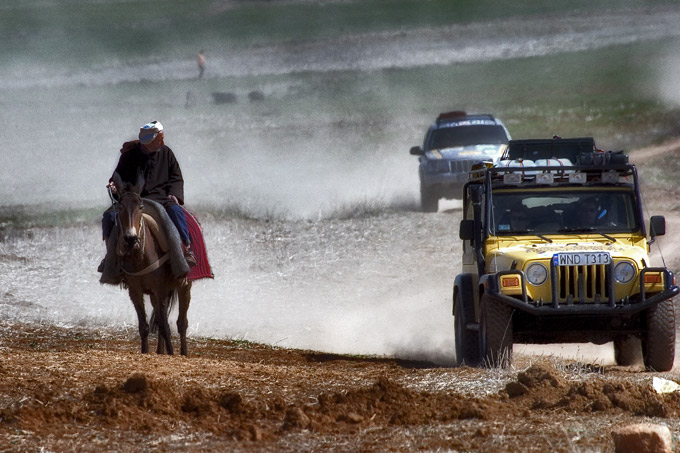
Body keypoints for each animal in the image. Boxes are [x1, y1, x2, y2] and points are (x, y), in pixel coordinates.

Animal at [111, 175, 191, 354]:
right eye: (119, 207)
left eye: (140, 207)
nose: (131, 238)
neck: (141, 259)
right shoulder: (136, 291)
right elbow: (145, 326)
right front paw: (145, 351)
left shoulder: (160, 290)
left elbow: (165, 326)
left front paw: (171, 353)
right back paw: (160, 351)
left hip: (184, 286)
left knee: (181, 323)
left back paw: (183, 352)